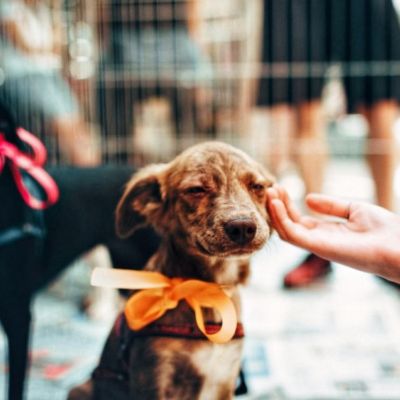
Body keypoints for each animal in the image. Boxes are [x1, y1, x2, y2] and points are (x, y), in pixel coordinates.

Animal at [68, 141, 275, 399]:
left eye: (257, 187)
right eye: (196, 190)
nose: (243, 227)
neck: (205, 291)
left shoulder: (224, 379)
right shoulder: (154, 378)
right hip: (81, 389)